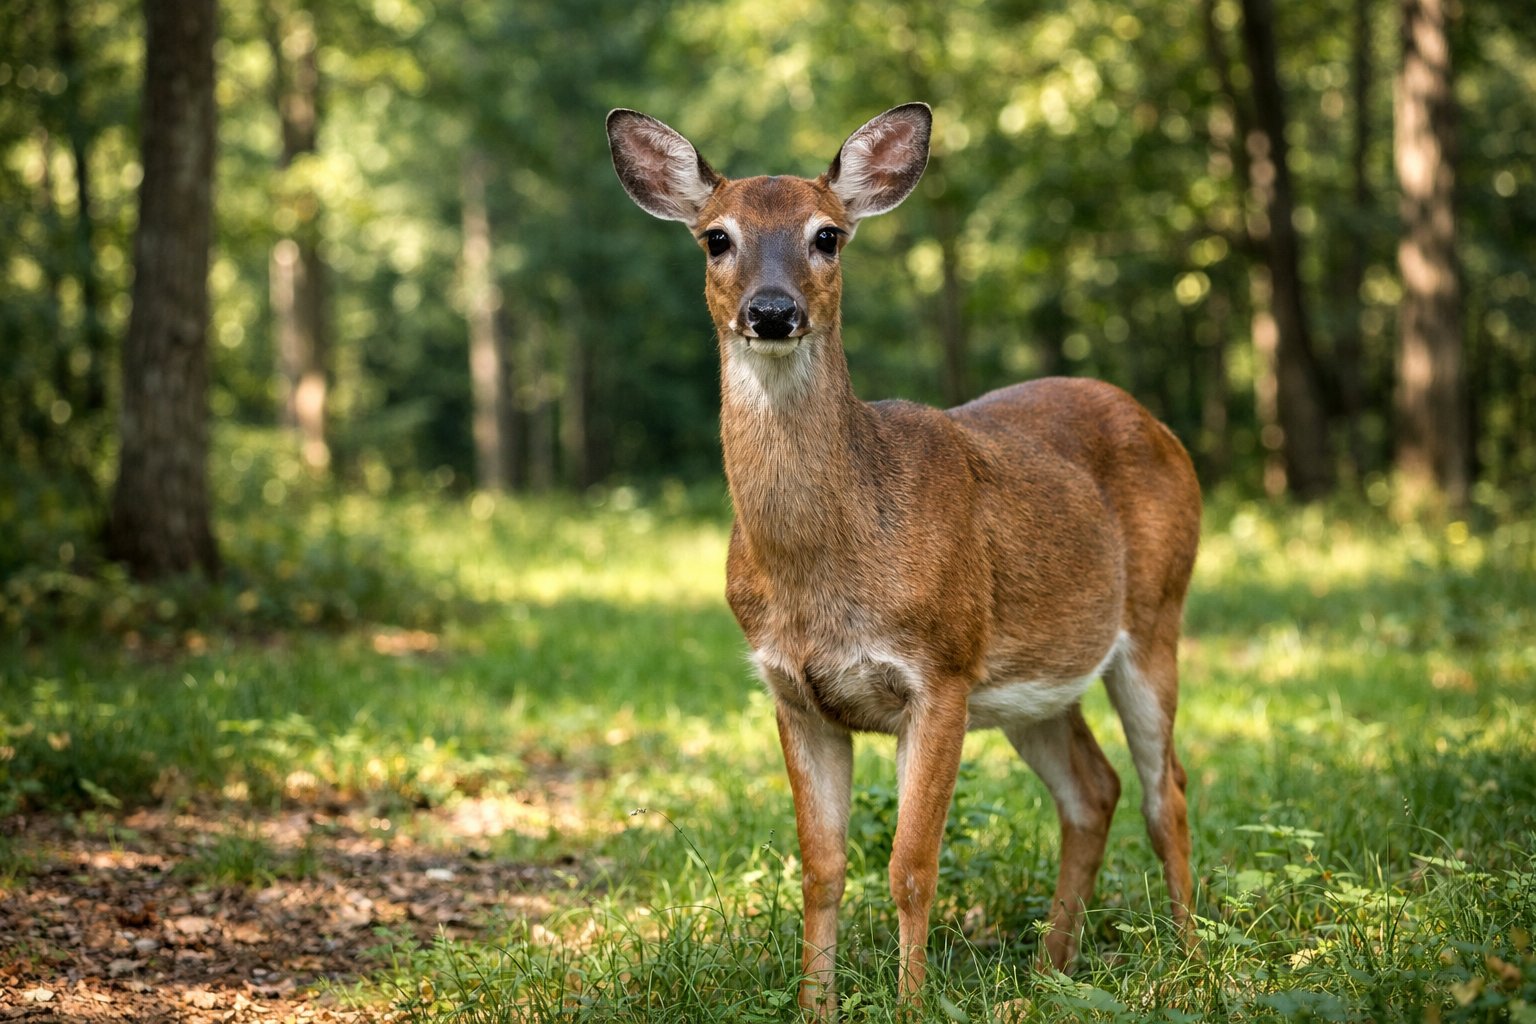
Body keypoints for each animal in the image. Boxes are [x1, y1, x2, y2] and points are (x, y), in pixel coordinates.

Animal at [607, 102, 1202, 1019]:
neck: (822, 569)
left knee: (1163, 787)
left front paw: (911, 1004)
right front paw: (814, 1006)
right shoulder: (792, 692)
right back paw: (1051, 969)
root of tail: (1162, 427)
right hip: (1036, 679)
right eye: (715, 238)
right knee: (1092, 788)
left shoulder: (941, 668)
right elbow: (820, 868)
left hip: (1155, 615)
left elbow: (911, 868)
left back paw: (1192, 963)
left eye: (827, 235)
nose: (772, 310)